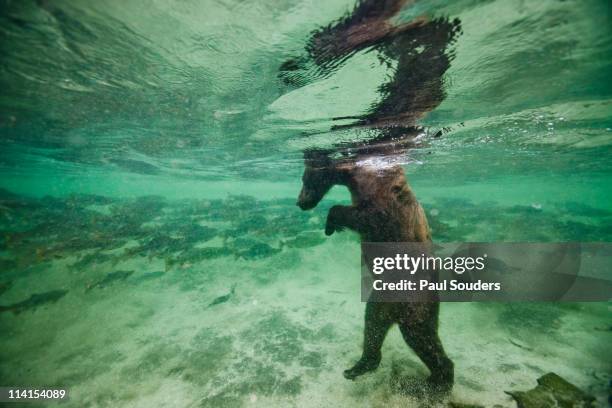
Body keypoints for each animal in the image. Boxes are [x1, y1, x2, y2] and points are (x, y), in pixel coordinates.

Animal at [296, 151, 454, 392]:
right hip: (381, 299)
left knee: (420, 335)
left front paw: (332, 223)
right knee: (373, 325)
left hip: (413, 299)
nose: (299, 202)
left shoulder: (384, 203)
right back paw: (358, 367)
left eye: (304, 179)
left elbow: (367, 215)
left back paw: (434, 383)